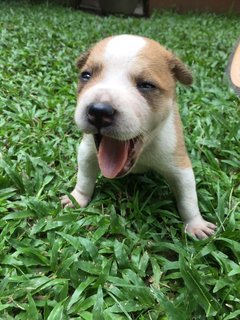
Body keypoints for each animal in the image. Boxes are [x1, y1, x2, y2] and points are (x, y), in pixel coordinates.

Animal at [61, 35, 216, 240]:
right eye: (86, 75)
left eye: (146, 85)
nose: (99, 111)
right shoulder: (87, 152)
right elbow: (84, 178)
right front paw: (77, 198)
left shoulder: (180, 166)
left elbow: (188, 198)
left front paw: (196, 224)